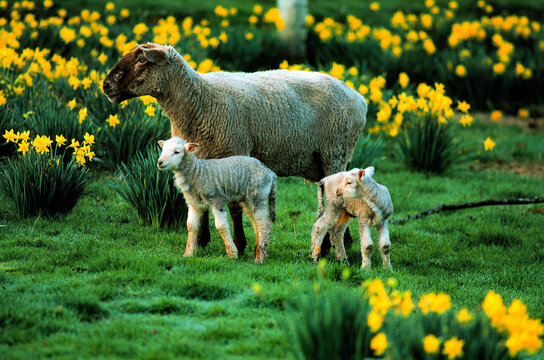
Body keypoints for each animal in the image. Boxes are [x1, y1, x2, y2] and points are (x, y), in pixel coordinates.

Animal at [104, 43, 368, 256]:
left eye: (141, 60)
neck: (200, 100)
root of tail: (358, 97)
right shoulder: (200, 159)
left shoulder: (233, 152)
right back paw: (340, 242)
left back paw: (332, 245)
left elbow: (234, 208)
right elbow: (201, 204)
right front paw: (202, 241)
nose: (106, 85)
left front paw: (239, 245)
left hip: (334, 151)